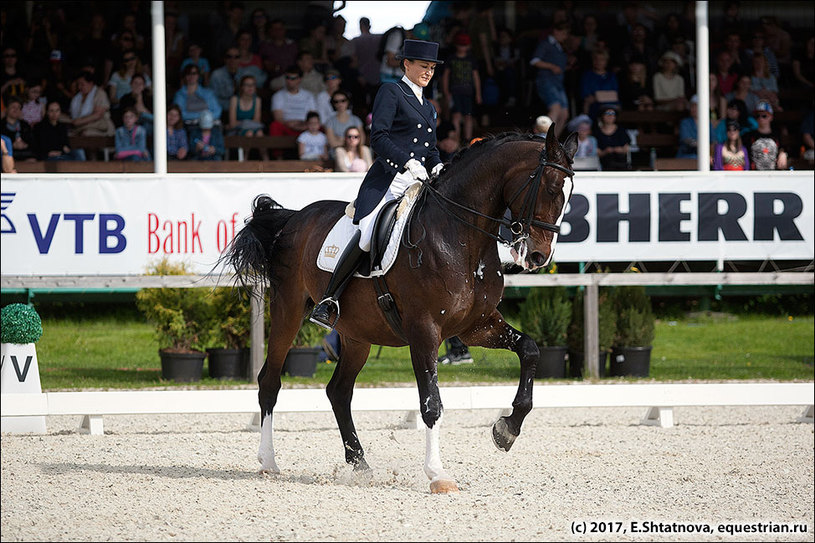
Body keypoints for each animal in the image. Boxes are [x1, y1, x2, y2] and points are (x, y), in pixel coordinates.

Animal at [225, 125, 580, 496]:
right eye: (551, 188)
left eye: (569, 194)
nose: (539, 256)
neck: (461, 237)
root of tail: (293, 218)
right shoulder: (424, 331)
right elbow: (431, 403)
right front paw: (438, 474)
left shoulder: (478, 326)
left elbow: (531, 349)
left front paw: (506, 430)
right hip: (288, 311)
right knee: (270, 381)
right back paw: (269, 461)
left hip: (357, 334)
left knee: (339, 391)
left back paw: (360, 465)